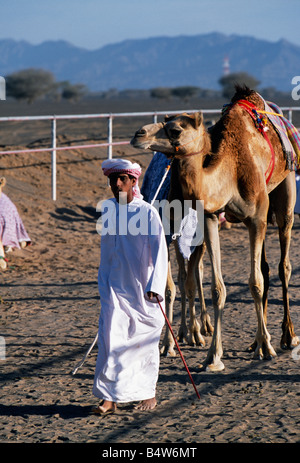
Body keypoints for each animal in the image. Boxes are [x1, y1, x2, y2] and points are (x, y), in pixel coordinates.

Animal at [132, 85, 300, 372]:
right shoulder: (210, 217)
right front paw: (213, 357)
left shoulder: (256, 218)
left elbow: (254, 282)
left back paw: (286, 336)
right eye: (165, 122)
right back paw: (255, 340)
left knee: (283, 265)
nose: (138, 134)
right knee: (264, 268)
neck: (230, 171)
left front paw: (266, 348)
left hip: (285, 192)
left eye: (175, 130)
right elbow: (217, 288)